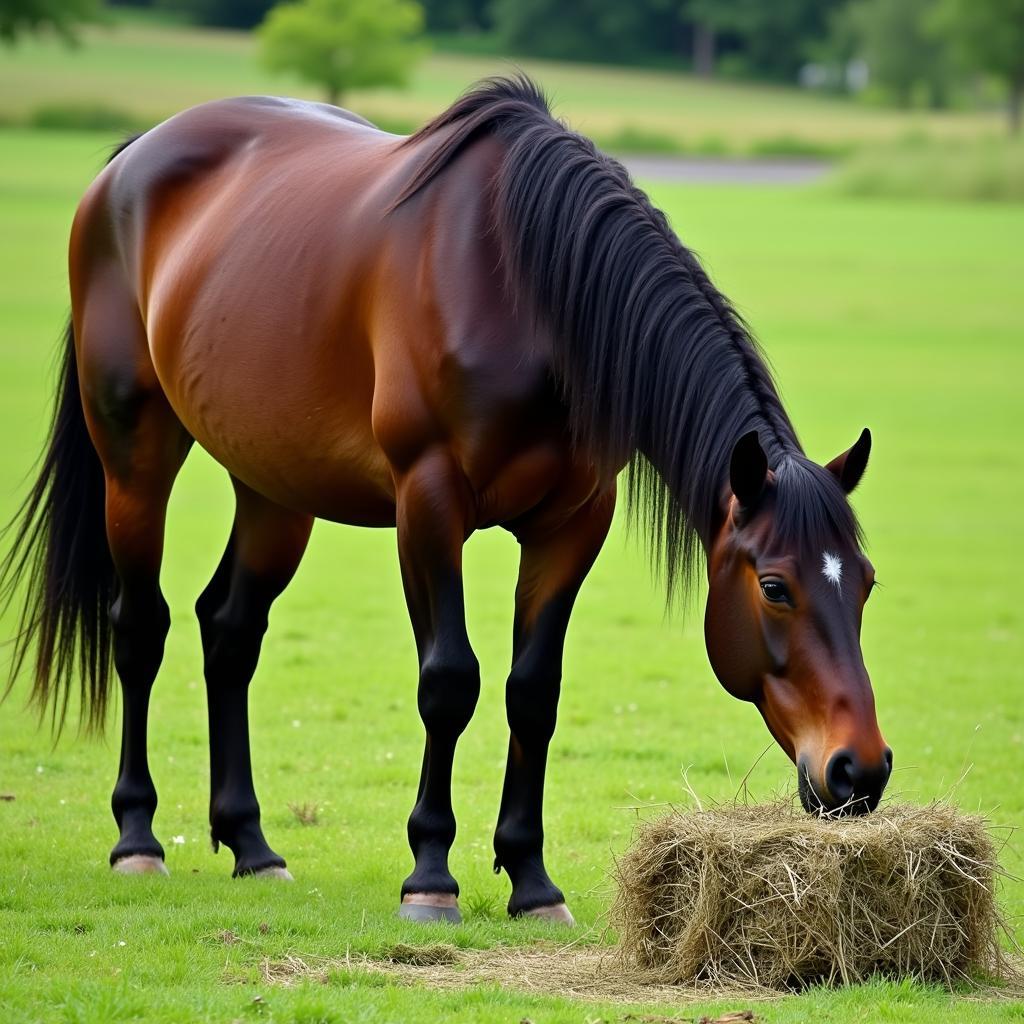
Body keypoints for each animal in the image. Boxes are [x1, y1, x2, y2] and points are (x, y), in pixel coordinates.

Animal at [2, 79, 888, 925]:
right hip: (134, 456)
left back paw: (251, 844)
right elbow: (450, 680)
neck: (527, 297)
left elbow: (533, 692)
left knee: (230, 631)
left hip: (272, 488)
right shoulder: (427, 503)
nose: (861, 770)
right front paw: (430, 877)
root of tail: (131, 158)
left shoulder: (574, 523)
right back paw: (137, 837)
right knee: (139, 628)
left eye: (867, 583)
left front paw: (531, 880)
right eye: (774, 587)